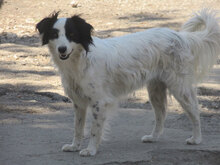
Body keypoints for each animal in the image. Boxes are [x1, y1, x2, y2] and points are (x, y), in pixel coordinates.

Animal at [36, 9, 220, 157]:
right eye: (54, 35)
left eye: (72, 35)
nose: (62, 49)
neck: (80, 60)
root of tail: (181, 36)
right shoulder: (79, 102)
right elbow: (78, 127)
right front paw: (75, 146)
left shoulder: (99, 102)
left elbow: (94, 129)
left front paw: (91, 150)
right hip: (155, 90)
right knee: (161, 114)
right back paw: (153, 137)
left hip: (180, 88)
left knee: (194, 111)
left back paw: (196, 139)